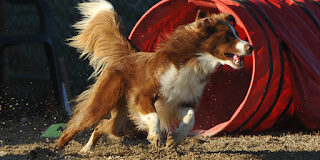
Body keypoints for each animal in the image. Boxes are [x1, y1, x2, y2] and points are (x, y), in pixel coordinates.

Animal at [56, 0, 254, 152]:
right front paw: (155, 136)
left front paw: (175, 138)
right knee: (80, 122)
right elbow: (154, 116)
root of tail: (126, 56)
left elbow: (191, 118)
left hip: (125, 122)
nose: (251, 47)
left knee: (103, 125)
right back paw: (60, 146)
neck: (194, 61)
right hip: (105, 101)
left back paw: (86, 148)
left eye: (236, 33)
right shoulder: (143, 95)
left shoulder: (181, 101)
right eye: (228, 36)